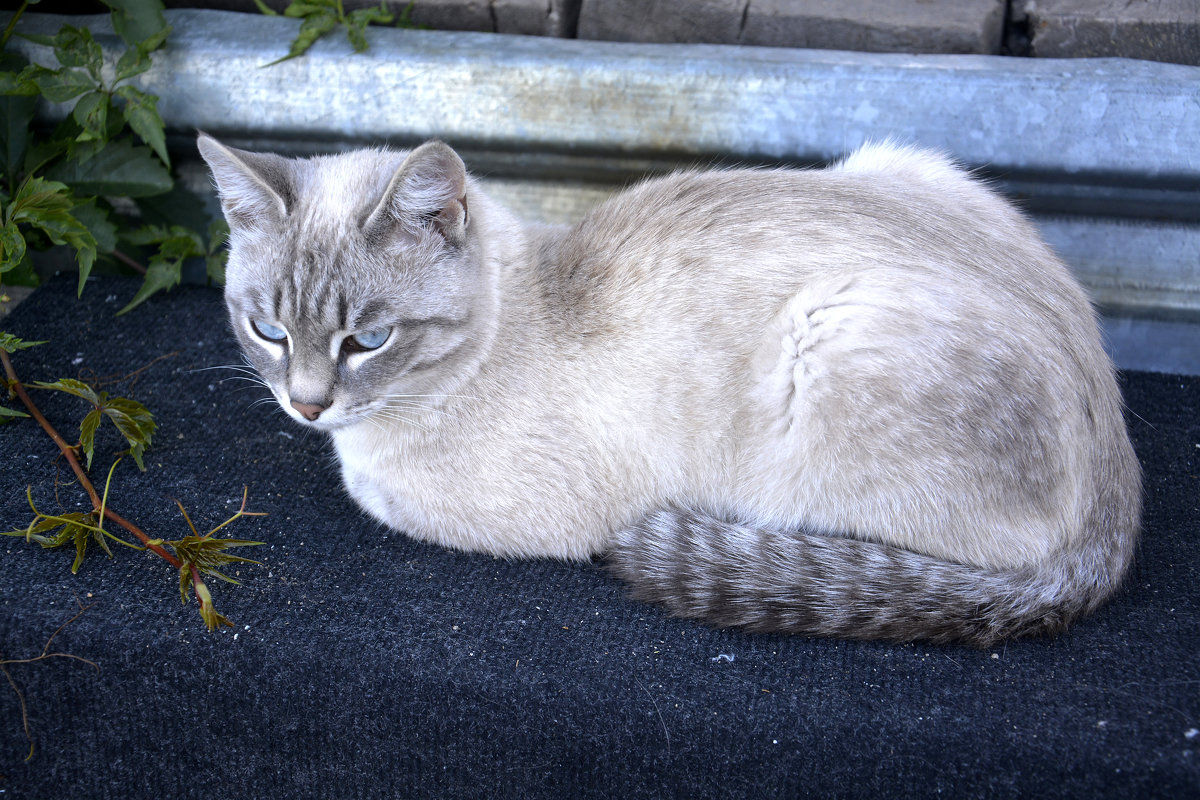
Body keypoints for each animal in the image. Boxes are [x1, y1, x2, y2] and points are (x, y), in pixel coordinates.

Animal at [199, 134, 1142, 647]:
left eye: (368, 341)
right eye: (269, 331)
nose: (307, 405)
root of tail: (1121, 489)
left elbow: (373, 497)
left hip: (827, 347)